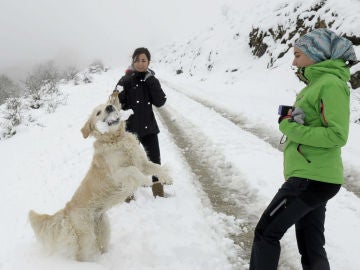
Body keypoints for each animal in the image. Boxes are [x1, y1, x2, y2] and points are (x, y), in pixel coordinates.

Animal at [28, 92, 172, 260]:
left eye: (108, 105)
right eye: (98, 113)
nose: (110, 107)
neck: (116, 139)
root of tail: (66, 209)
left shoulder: (141, 162)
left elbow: (156, 167)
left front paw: (167, 177)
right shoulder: (118, 173)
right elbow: (133, 171)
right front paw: (145, 181)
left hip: (103, 228)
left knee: (101, 246)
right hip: (86, 234)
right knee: (81, 255)